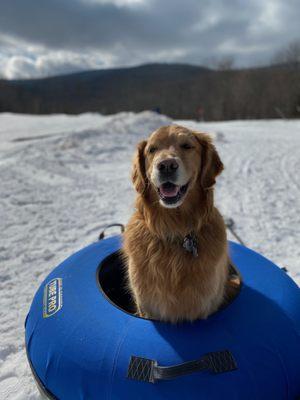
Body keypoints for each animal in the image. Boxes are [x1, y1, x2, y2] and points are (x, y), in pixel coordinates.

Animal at [122, 125, 239, 324]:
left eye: (186, 146)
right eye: (152, 149)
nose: (166, 165)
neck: (174, 229)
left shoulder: (205, 306)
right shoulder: (146, 308)